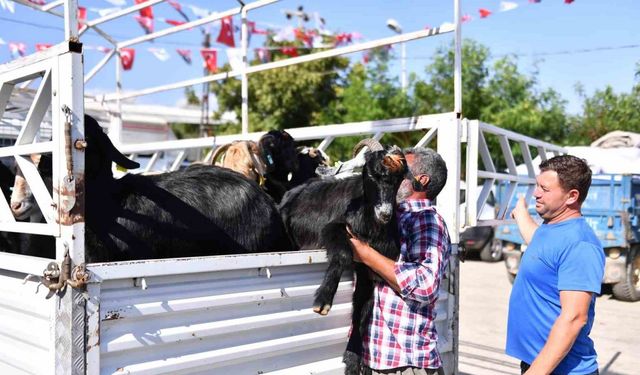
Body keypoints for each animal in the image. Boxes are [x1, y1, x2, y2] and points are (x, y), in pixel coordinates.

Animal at [278, 142, 408, 375]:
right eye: (371, 174)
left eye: (400, 178)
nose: (385, 214)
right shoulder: (332, 228)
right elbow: (343, 253)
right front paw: (323, 301)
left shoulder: (370, 268)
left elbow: (363, 308)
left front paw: (354, 360)